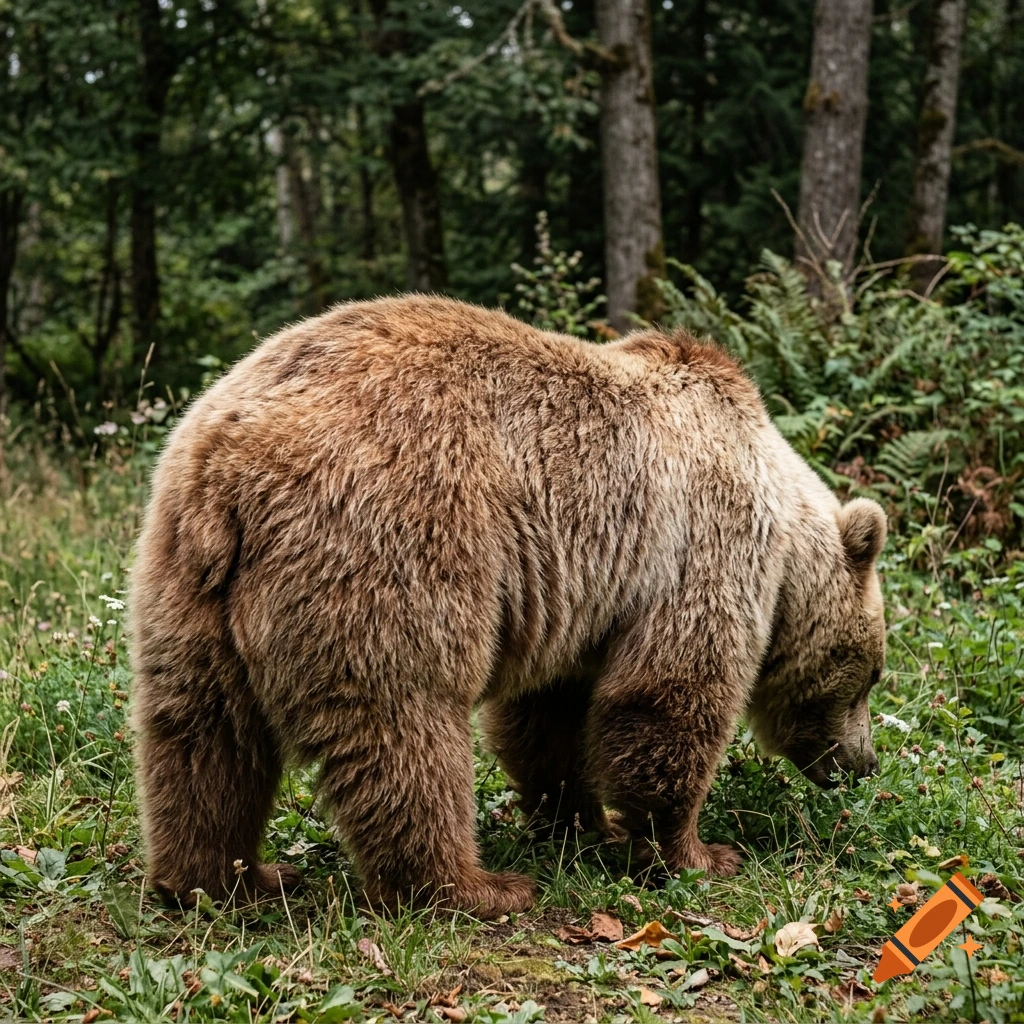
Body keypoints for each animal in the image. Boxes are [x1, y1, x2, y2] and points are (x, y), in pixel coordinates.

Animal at [129, 294, 886, 918]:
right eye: (872, 676)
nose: (863, 763)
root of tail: (234, 454)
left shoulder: (585, 600)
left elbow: (545, 719)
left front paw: (584, 823)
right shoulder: (701, 544)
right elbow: (670, 697)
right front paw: (699, 852)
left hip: (184, 578)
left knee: (202, 736)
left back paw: (226, 879)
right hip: (388, 539)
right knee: (406, 724)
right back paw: (474, 888)